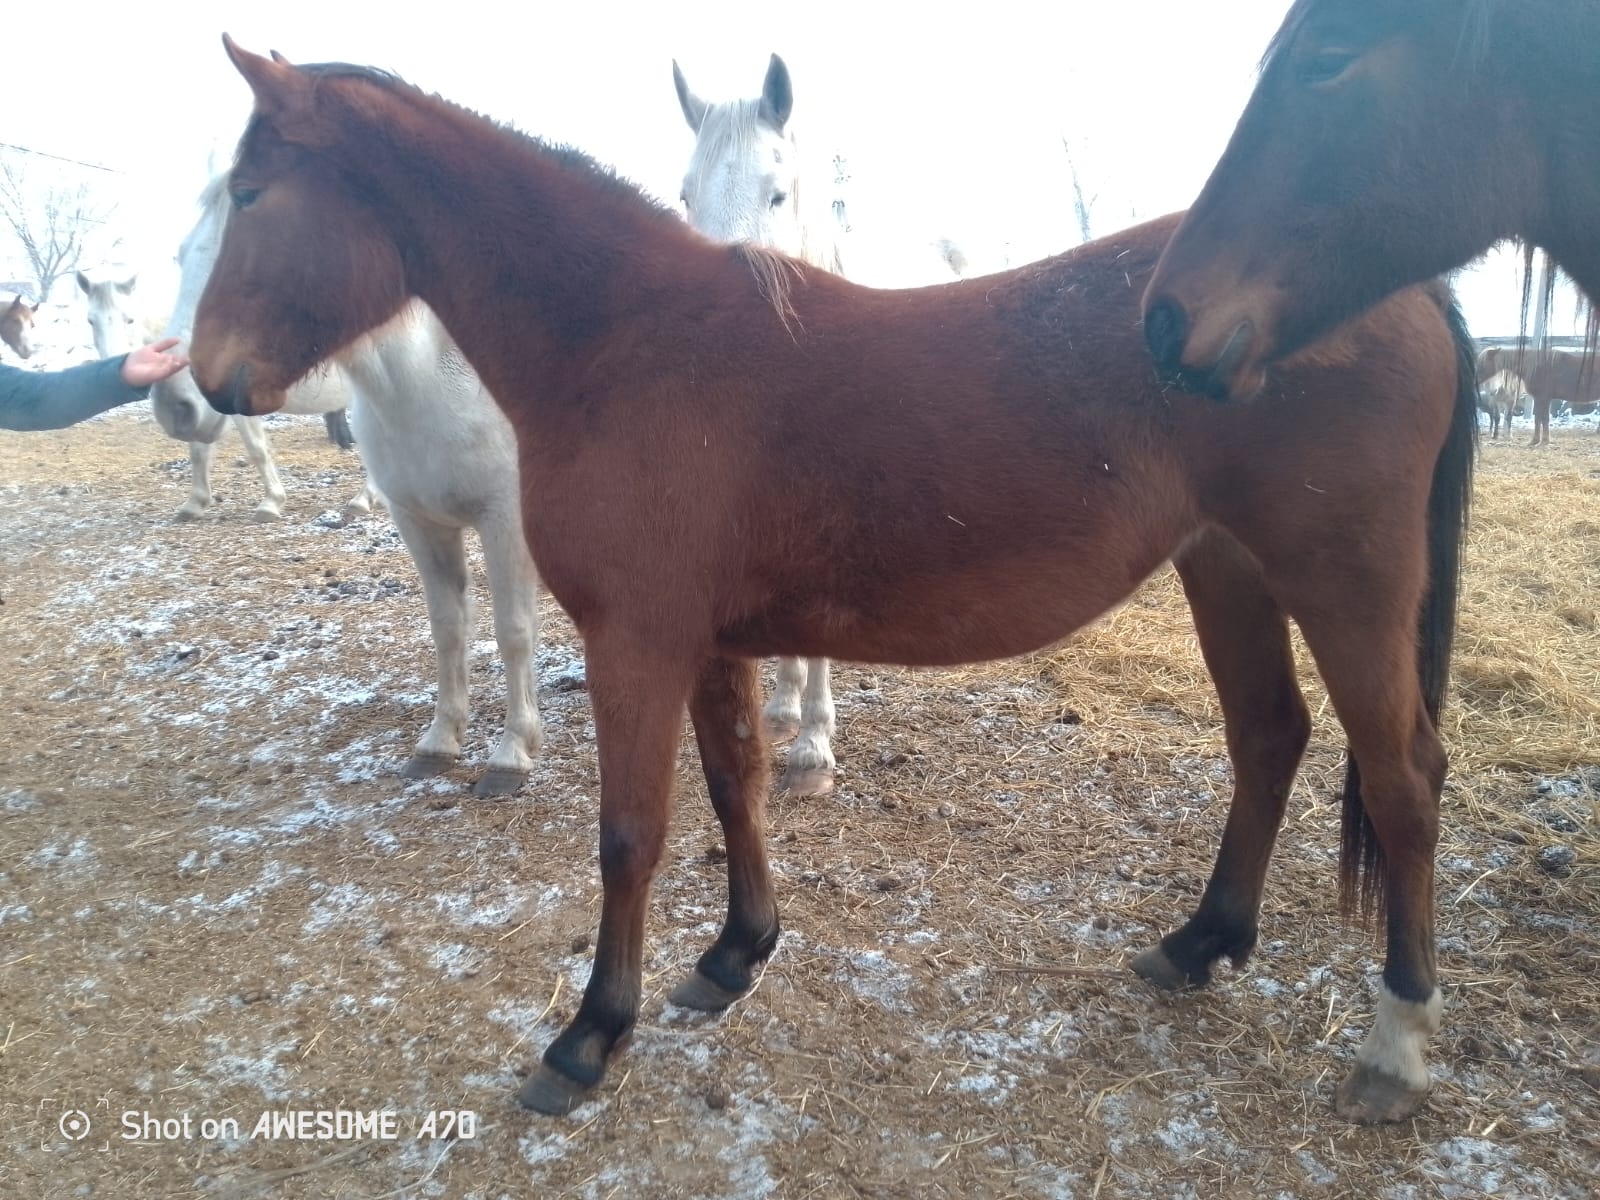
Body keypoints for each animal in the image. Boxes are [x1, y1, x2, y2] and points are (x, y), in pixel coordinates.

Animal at [151, 175, 376, 523]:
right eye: (180, 256)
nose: (171, 403)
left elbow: (255, 447)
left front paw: (271, 502)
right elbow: (200, 448)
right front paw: (195, 502)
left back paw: (363, 499)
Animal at [176, 174, 543, 793]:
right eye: (180, 255)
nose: (184, 400)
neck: (435, 379)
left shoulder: (505, 521)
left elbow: (513, 630)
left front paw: (512, 752)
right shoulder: (418, 522)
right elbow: (449, 626)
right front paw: (440, 740)